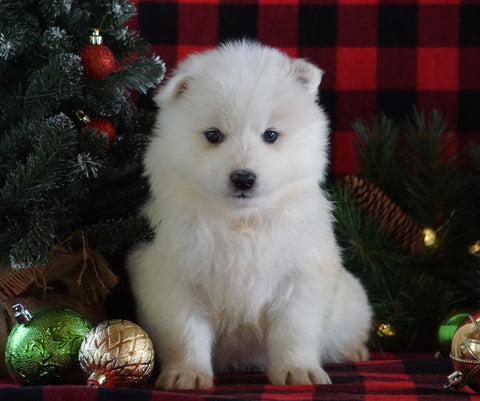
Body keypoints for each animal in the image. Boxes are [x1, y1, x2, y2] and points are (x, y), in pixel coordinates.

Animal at [126, 42, 372, 390]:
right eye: (213, 135)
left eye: (270, 135)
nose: (243, 179)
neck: (242, 222)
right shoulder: (173, 279)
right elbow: (185, 333)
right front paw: (187, 374)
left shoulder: (301, 277)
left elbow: (294, 330)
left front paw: (298, 371)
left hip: (352, 300)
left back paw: (355, 351)